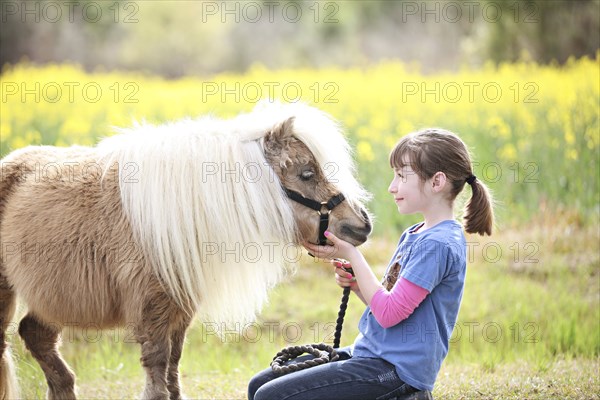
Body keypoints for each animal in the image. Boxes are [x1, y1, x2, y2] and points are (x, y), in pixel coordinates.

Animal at [0, 101, 372, 398]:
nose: (361, 224)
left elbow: (173, 372)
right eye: (307, 173)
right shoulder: (152, 312)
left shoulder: (178, 312)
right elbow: (157, 377)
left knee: (36, 337)